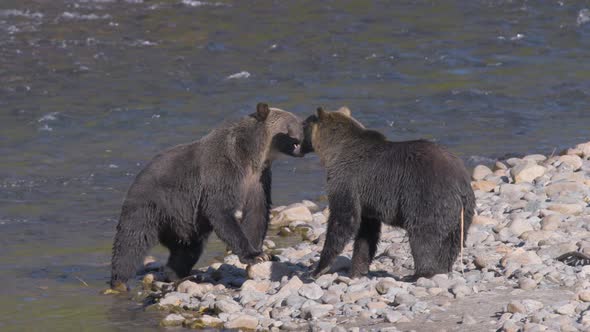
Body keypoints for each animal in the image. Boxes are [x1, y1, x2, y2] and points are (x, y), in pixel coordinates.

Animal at [111, 102, 306, 290]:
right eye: (294, 123)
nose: (304, 136)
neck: (252, 155)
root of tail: (136, 178)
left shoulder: (258, 180)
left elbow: (257, 212)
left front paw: (263, 253)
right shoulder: (223, 172)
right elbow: (219, 210)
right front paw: (253, 255)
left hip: (184, 223)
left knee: (186, 251)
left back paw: (180, 275)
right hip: (150, 205)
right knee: (130, 244)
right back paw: (119, 281)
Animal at [302, 107, 478, 278]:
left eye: (304, 123)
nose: (298, 136)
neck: (334, 151)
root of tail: (460, 183)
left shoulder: (347, 179)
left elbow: (343, 219)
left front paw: (317, 269)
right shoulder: (366, 197)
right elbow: (367, 233)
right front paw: (357, 271)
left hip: (427, 196)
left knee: (424, 236)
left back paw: (421, 273)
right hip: (463, 212)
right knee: (453, 241)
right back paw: (443, 268)